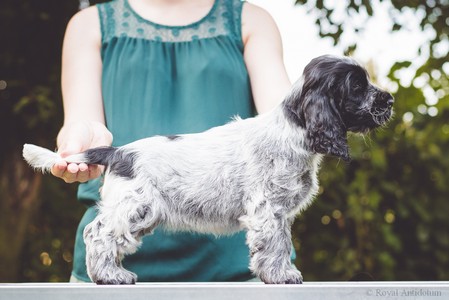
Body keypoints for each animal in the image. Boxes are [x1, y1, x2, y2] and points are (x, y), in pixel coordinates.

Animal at [21, 55, 392, 284]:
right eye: (357, 87)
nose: (389, 100)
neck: (293, 130)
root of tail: (118, 152)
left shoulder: (279, 212)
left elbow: (282, 242)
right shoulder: (267, 208)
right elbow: (274, 244)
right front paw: (280, 275)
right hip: (134, 205)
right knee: (98, 234)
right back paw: (110, 276)